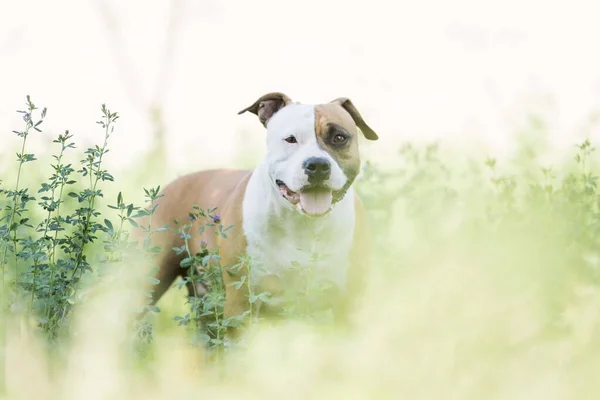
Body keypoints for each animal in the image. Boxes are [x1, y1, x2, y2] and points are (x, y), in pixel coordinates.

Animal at [138, 93, 378, 334]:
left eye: (339, 137)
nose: (317, 165)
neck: (301, 224)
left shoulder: (351, 305)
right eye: (290, 139)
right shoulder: (240, 303)